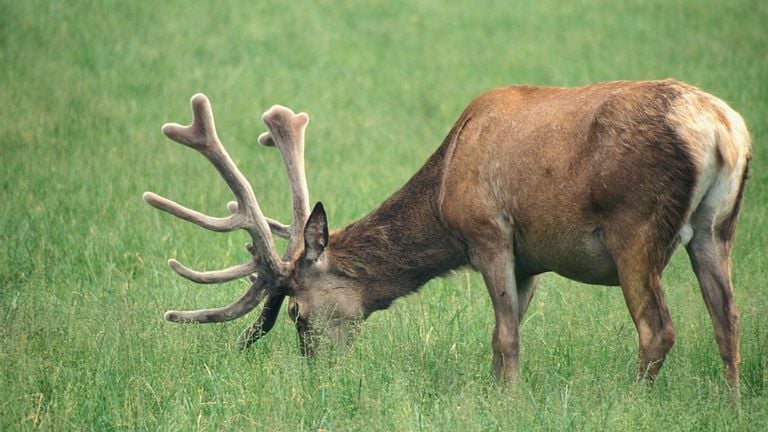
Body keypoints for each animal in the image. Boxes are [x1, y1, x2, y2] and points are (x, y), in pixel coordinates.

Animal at [144, 79, 752, 390]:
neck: (443, 192)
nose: (315, 375)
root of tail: (722, 128)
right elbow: (507, 331)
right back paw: (731, 404)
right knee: (727, 319)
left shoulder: (488, 231)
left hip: (636, 226)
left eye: (297, 313)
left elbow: (505, 336)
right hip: (717, 227)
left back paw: (636, 399)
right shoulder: (531, 259)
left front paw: (507, 402)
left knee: (658, 329)